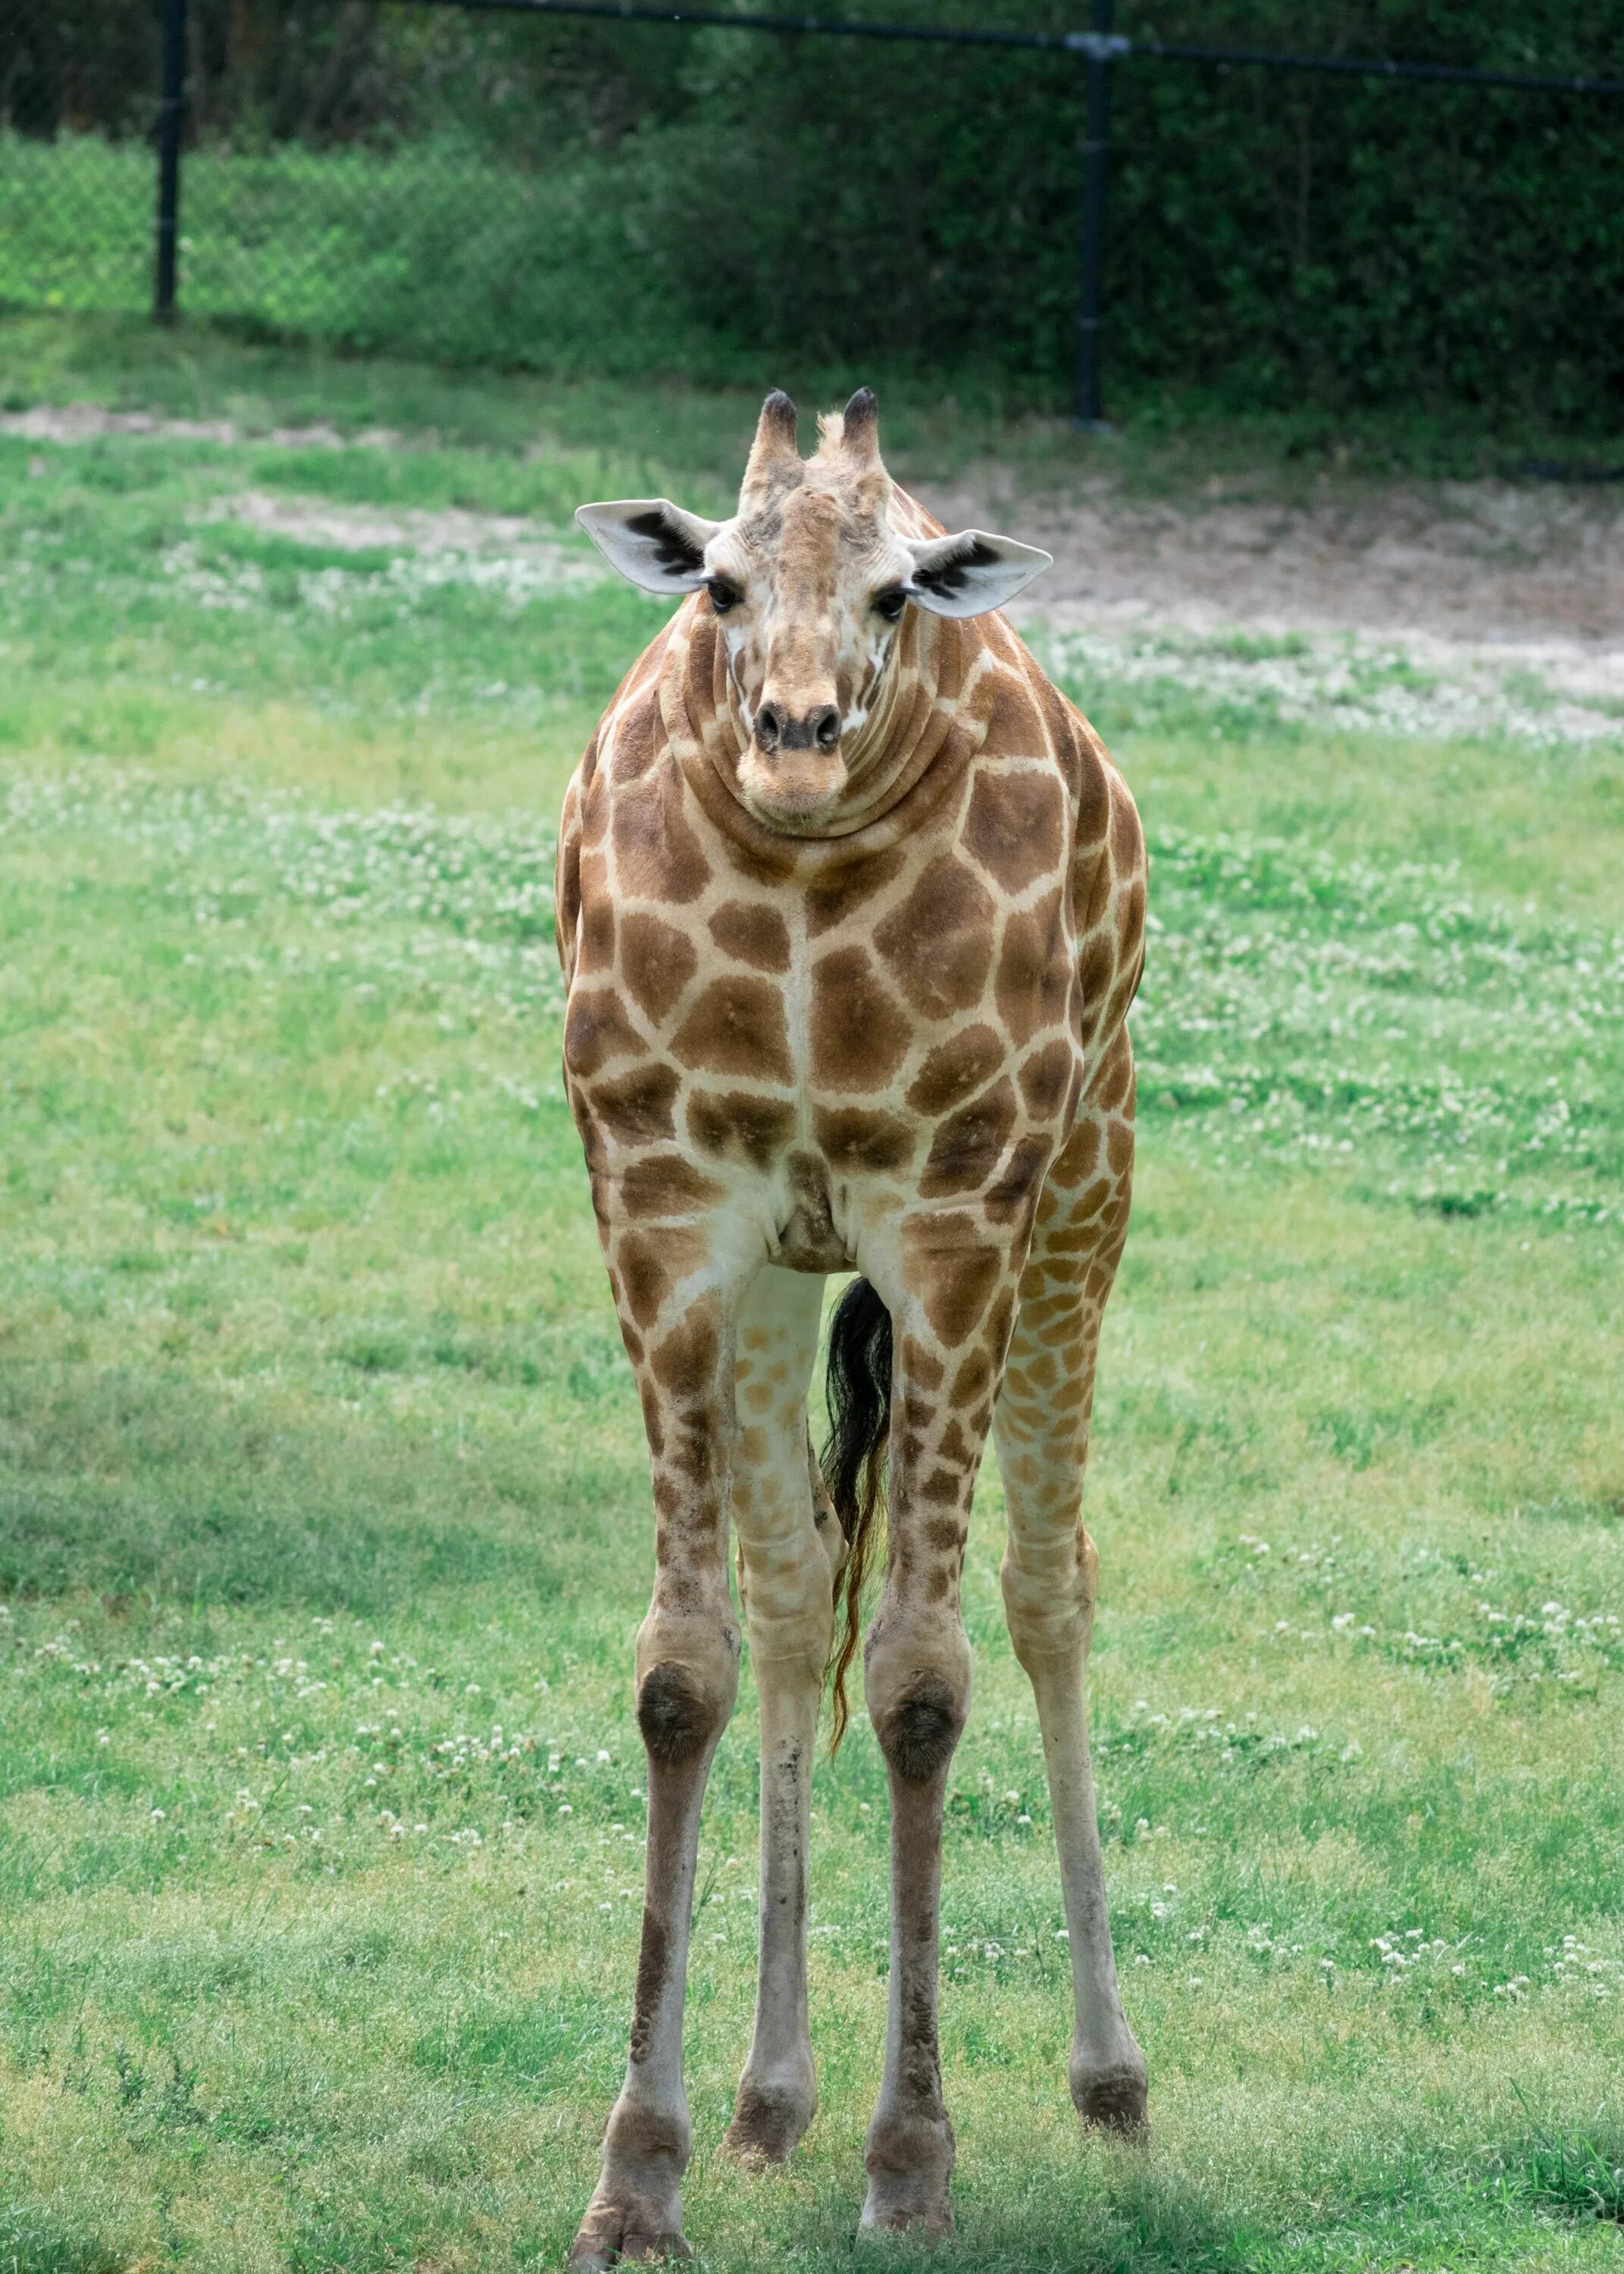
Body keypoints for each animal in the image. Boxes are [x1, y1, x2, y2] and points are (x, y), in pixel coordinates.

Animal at [557, 391, 1150, 2256]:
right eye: (720, 586)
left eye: (897, 596)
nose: (795, 739)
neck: (807, 874)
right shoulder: (666, 1209)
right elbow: (684, 1671)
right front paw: (638, 2174)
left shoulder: (951, 1215)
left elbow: (921, 1684)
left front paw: (913, 2162)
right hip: (785, 1267)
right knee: (795, 1577)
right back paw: (767, 2101)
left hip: (1086, 1184)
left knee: (1049, 1586)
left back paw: (1113, 2082)